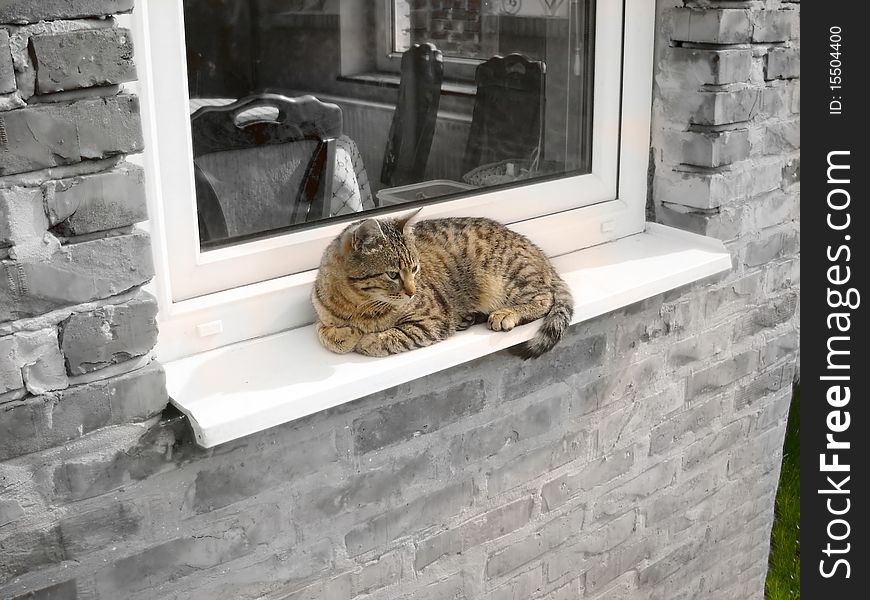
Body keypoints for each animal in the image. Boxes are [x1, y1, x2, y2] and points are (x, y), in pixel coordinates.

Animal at [312, 213, 572, 358]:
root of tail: (539, 253)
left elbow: (394, 336)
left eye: (415, 269)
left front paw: (367, 339)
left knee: (545, 298)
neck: (357, 305)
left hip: (509, 275)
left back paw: (505, 313)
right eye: (393, 274)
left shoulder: (433, 319)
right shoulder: (321, 313)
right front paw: (344, 335)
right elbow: (322, 332)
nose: (412, 292)